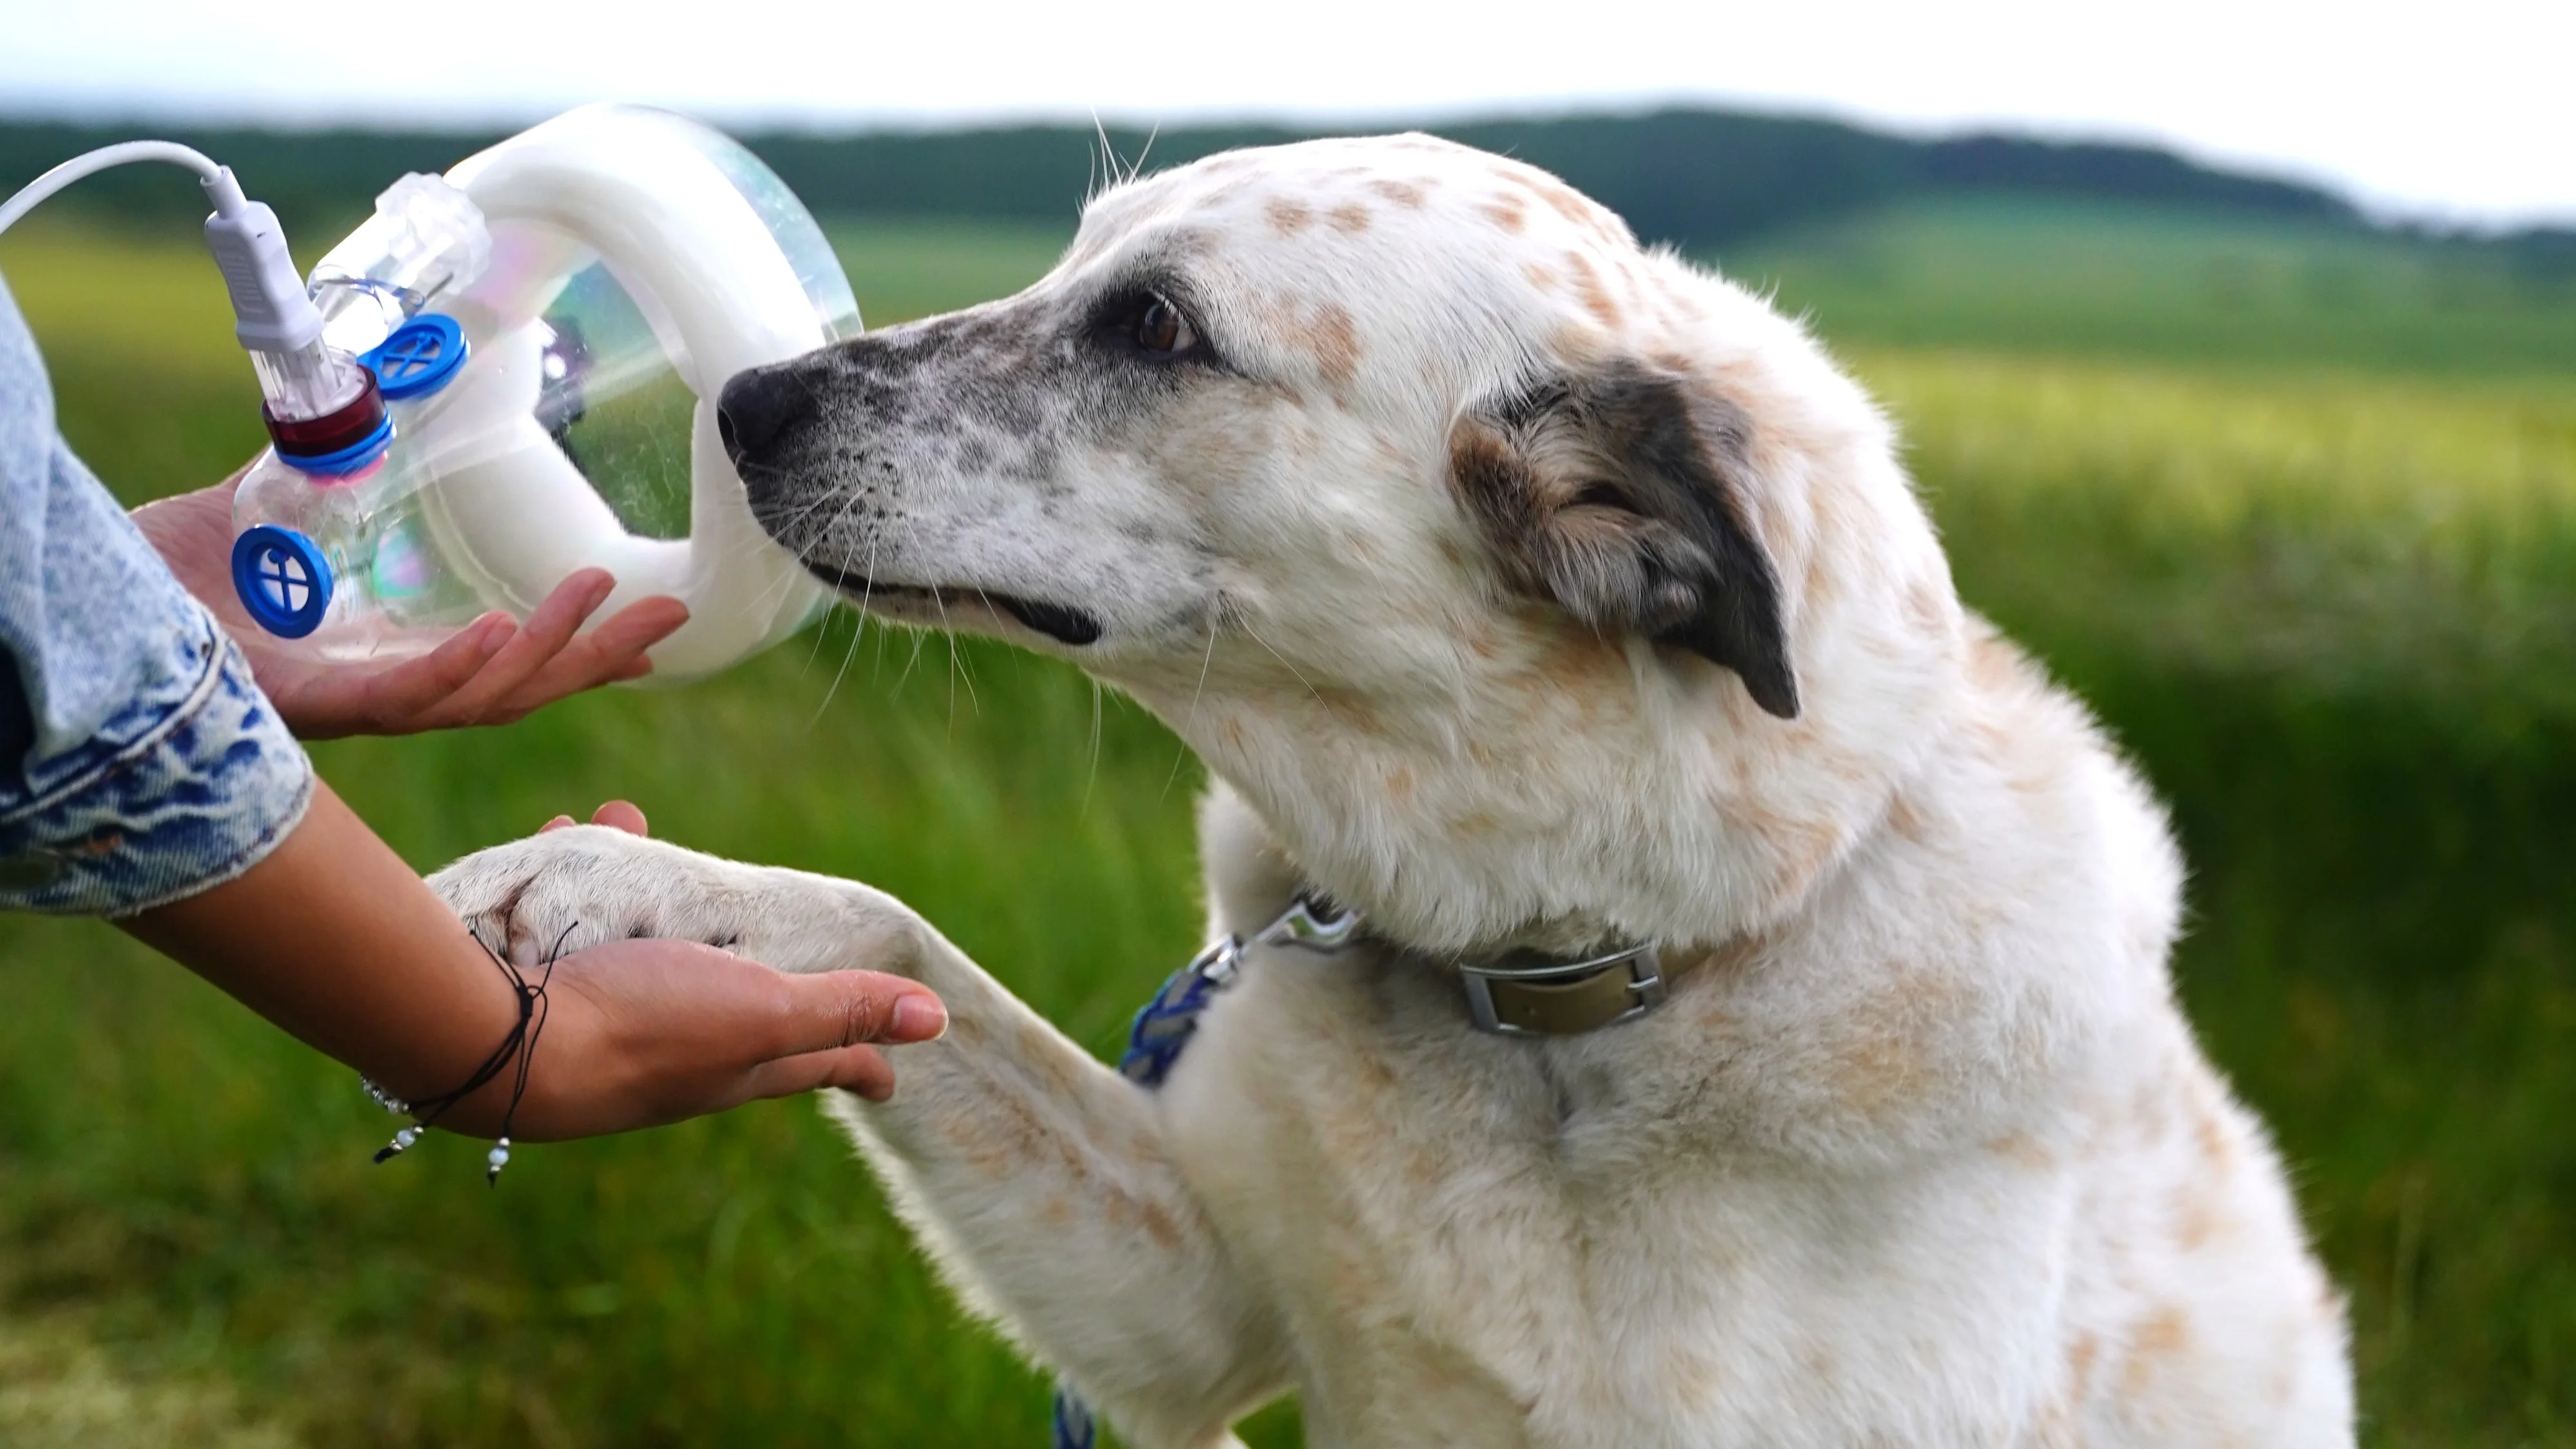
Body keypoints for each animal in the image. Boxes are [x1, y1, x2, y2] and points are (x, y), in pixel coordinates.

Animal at [438, 133, 2360, 1433]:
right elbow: (891, 937)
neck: (1568, 997)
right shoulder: (1185, 1307)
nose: (748, 401)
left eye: (1155, 326)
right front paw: (613, 888)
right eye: (1076, 262)